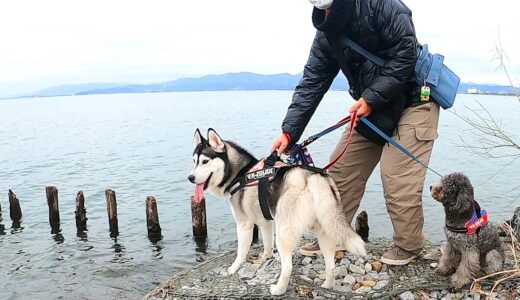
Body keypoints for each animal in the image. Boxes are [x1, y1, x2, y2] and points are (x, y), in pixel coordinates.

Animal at [188, 128, 366, 296]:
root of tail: (310, 178)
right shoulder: (265, 222)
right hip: (325, 229)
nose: (190, 177)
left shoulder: (244, 224)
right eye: (194, 161)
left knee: (287, 267)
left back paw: (279, 289)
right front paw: (265, 258)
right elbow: (267, 244)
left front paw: (233, 268)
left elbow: (241, 252)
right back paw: (327, 285)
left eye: (205, 161)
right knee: (331, 265)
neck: (241, 173)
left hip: (284, 233)